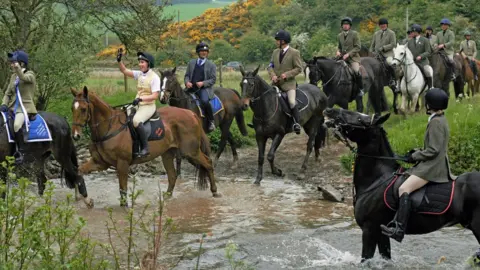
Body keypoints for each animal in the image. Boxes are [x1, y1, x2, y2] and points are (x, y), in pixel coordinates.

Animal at [69, 86, 219, 207]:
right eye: (72, 109)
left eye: (83, 109)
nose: (75, 136)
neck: (108, 127)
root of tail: (191, 113)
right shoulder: (100, 162)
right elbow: (78, 172)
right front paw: (85, 200)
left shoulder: (122, 164)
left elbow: (122, 190)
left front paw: (124, 208)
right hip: (168, 154)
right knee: (172, 175)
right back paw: (166, 198)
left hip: (190, 152)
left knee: (208, 164)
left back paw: (215, 192)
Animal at [322, 107, 480, 264]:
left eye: (361, 120)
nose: (329, 110)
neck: (377, 180)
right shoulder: (381, 233)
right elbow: (386, 258)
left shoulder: (369, 229)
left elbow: (365, 259)